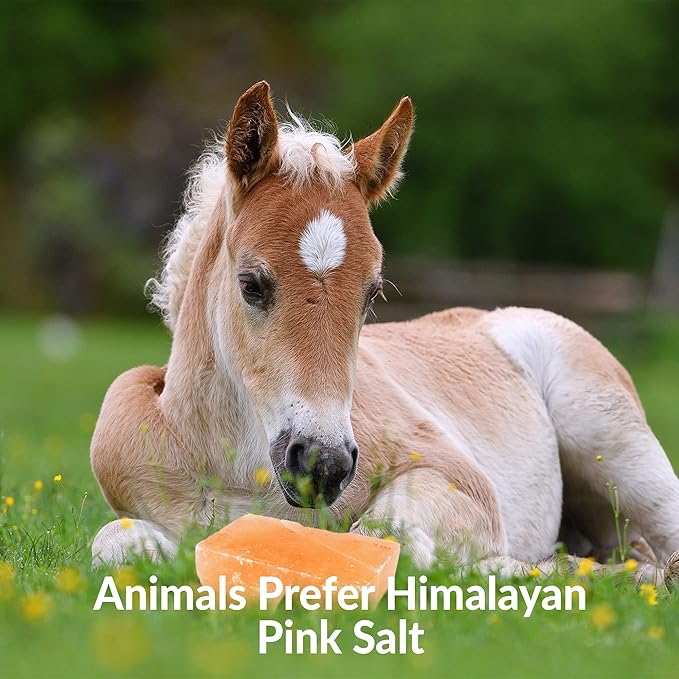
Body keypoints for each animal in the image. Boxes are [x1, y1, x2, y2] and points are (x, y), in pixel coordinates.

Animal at [90, 81, 679, 583]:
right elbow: (115, 546)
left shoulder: (455, 475)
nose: (323, 464)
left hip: (614, 444)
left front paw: (497, 567)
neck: (236, 467)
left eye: (371, 293)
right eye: (251, 284)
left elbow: (384, 538)